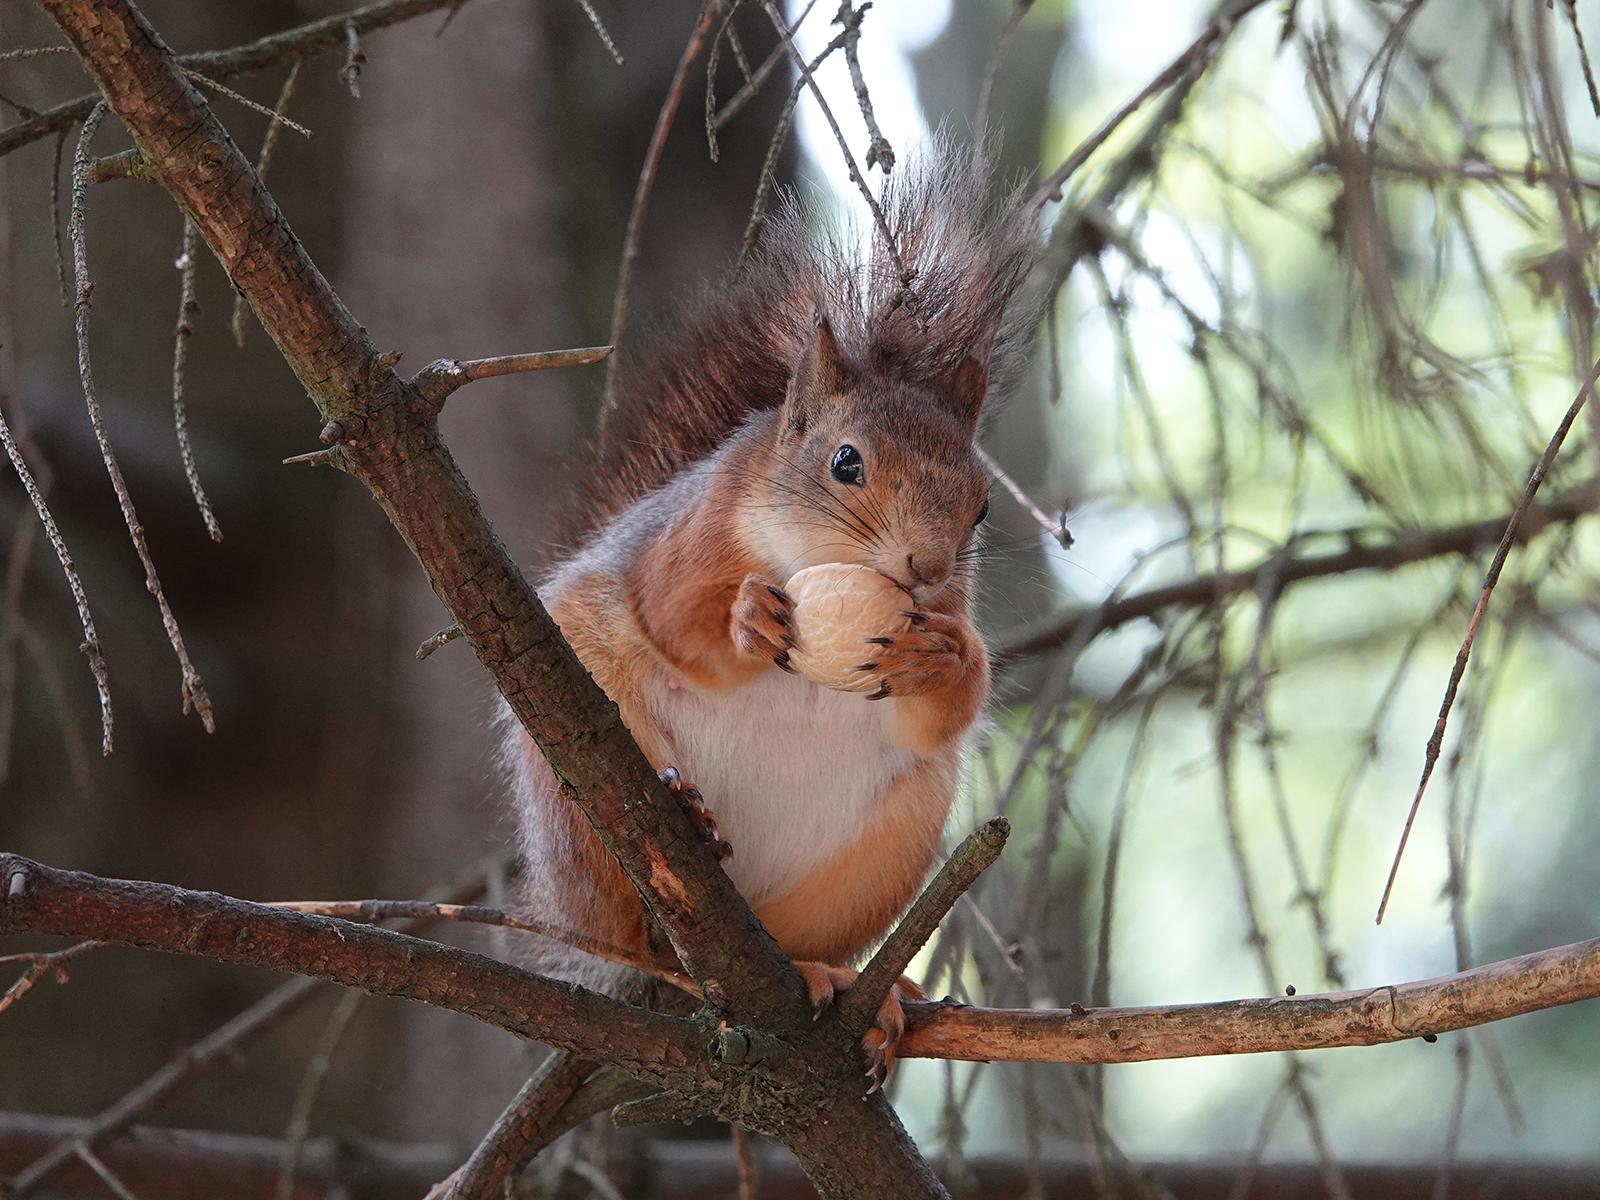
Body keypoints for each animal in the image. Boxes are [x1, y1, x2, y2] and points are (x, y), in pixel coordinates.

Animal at [505, 150, 1043, 1088]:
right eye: (845, 462)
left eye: (982, 506)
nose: (928, 569)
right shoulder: (689, 533)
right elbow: (672, 614)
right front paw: (744, 620)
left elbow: (946, 711)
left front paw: (941, 659)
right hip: (575, 790)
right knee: (645, 937)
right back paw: (680, 840)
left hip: (884, 851)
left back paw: (840, 983)